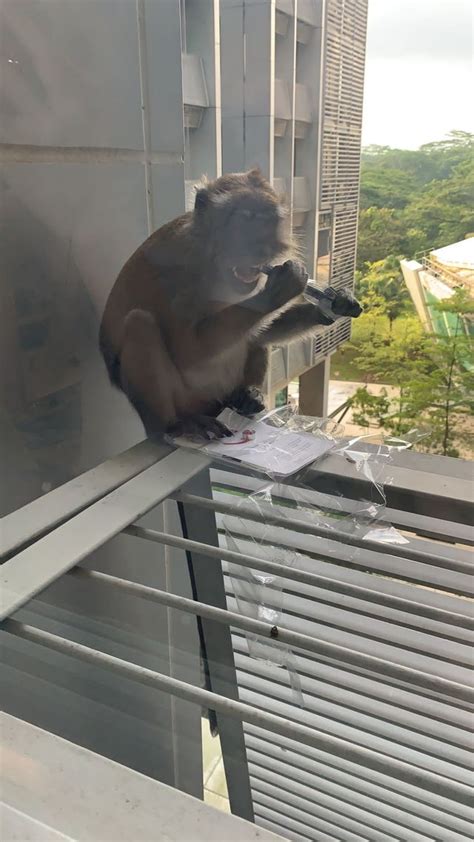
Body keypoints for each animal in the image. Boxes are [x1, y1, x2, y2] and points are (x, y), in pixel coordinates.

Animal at [99, 169, 361, 441]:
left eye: (267, 222)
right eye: (243, 222)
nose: (260, 247)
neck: (213, 265)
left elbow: (262, 330)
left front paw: (332, 303)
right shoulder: (177, 270)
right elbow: (187, 352)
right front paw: (280, 289)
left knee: (253, 335)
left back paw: (247, 396)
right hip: (187, 399)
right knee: (139, 323)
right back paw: (175, 424)